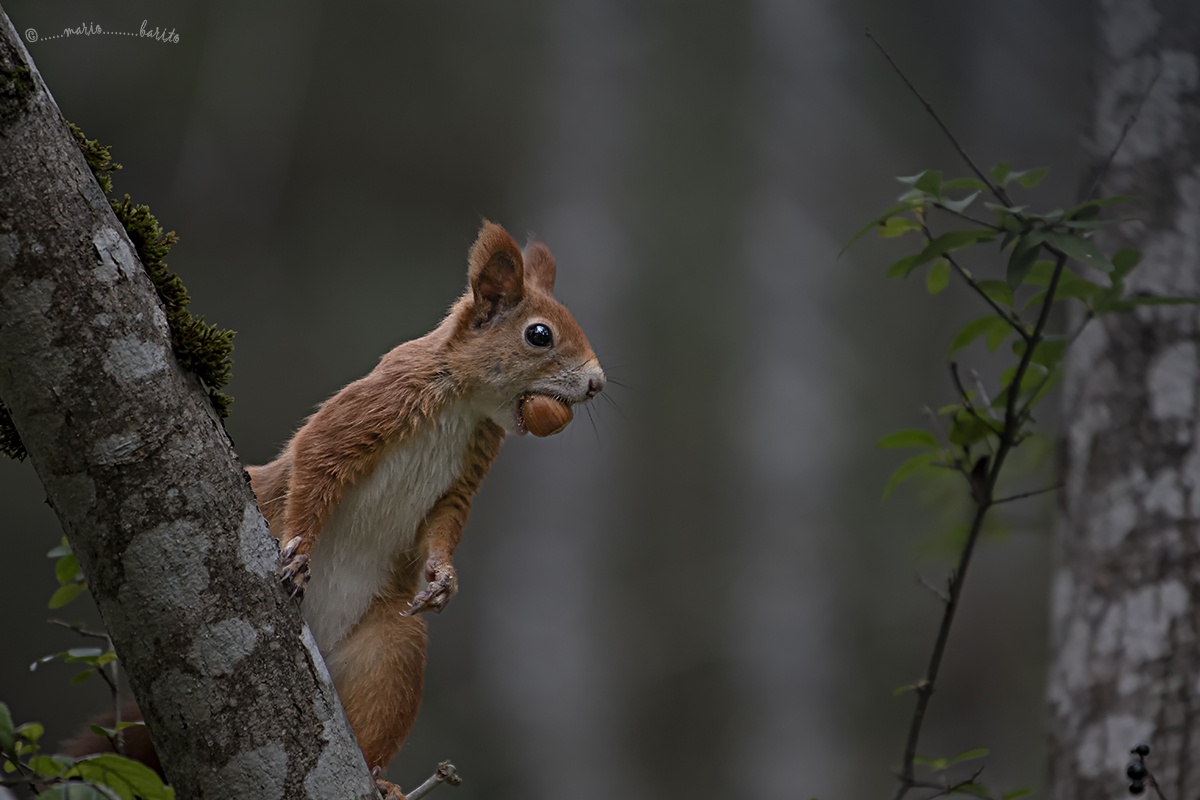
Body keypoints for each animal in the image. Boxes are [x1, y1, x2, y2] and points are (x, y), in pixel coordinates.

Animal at [63, 221, 605, 799]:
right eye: (539, 335)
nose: (598, 382)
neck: (465, 404)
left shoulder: (468, 471)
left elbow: (444, 524)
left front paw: (443, 578)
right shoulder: (375, 405)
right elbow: (318, 461)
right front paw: (296, 550)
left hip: (391, 647)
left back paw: (379, 781)